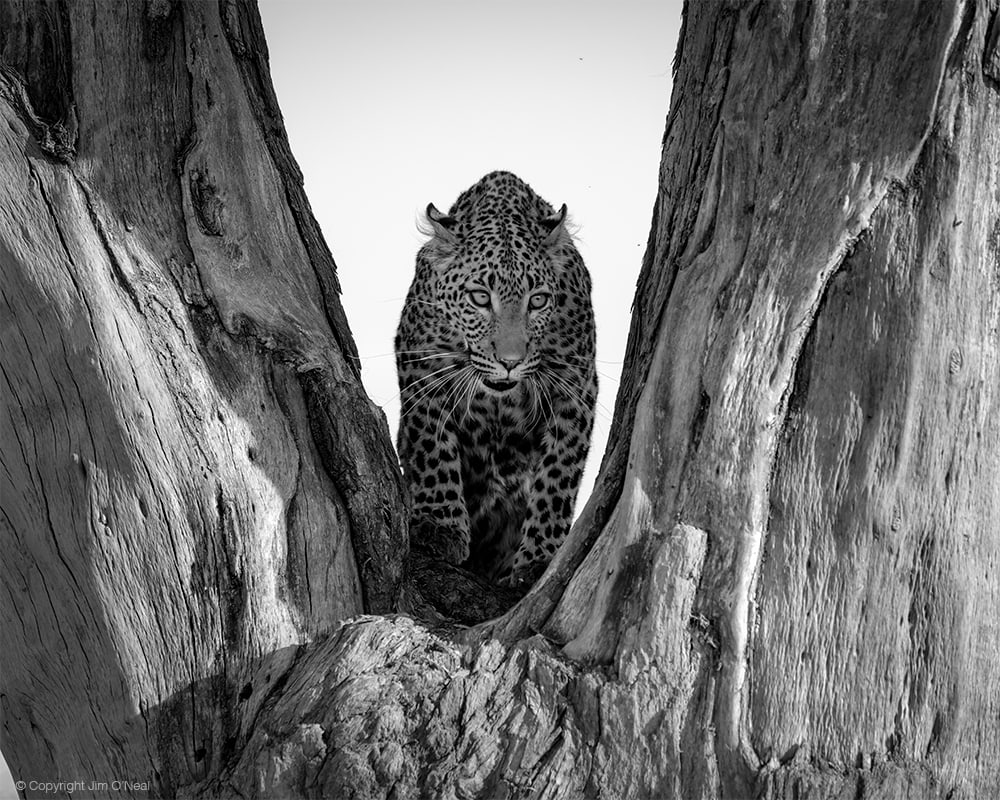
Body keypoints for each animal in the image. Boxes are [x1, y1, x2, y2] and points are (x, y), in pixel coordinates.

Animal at [390, 172, 592, 588]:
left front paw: (541, 558)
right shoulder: (422, 365)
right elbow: (431, 444)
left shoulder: (575, 385)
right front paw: (439, 526)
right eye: (481, 298)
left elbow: (558, 473)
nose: (510, 362)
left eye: (538, 300)